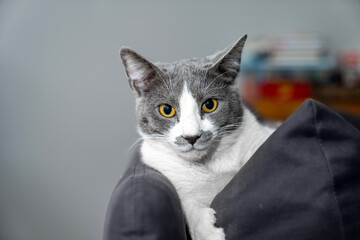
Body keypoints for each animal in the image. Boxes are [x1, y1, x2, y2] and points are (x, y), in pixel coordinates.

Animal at [119, 34, 274, 240]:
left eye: (209, 104)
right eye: (166, 109)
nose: (191, 136)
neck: (208, 166)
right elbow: (188, 204)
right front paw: (210, 232)